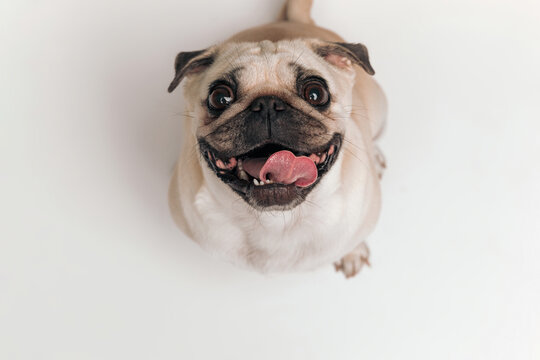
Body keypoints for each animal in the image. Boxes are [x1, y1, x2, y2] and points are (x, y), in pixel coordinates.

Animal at [167, 0, 386, 278]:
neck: (274, 222)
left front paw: (352, 252)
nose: (267, 104)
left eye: (316, 93)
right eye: (220, 97)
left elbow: (351, 240)